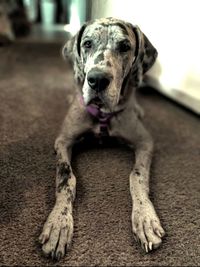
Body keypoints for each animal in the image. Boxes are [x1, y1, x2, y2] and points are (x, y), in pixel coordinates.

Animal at [38, 17, 165, 262]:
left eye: (125, 46)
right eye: (87, 43)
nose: (97, 80)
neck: (103, 114)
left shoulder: (145, 142)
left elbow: (137, 176)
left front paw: (145, 217)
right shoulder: (63, 141)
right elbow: (66, 178)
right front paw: (59, 223)